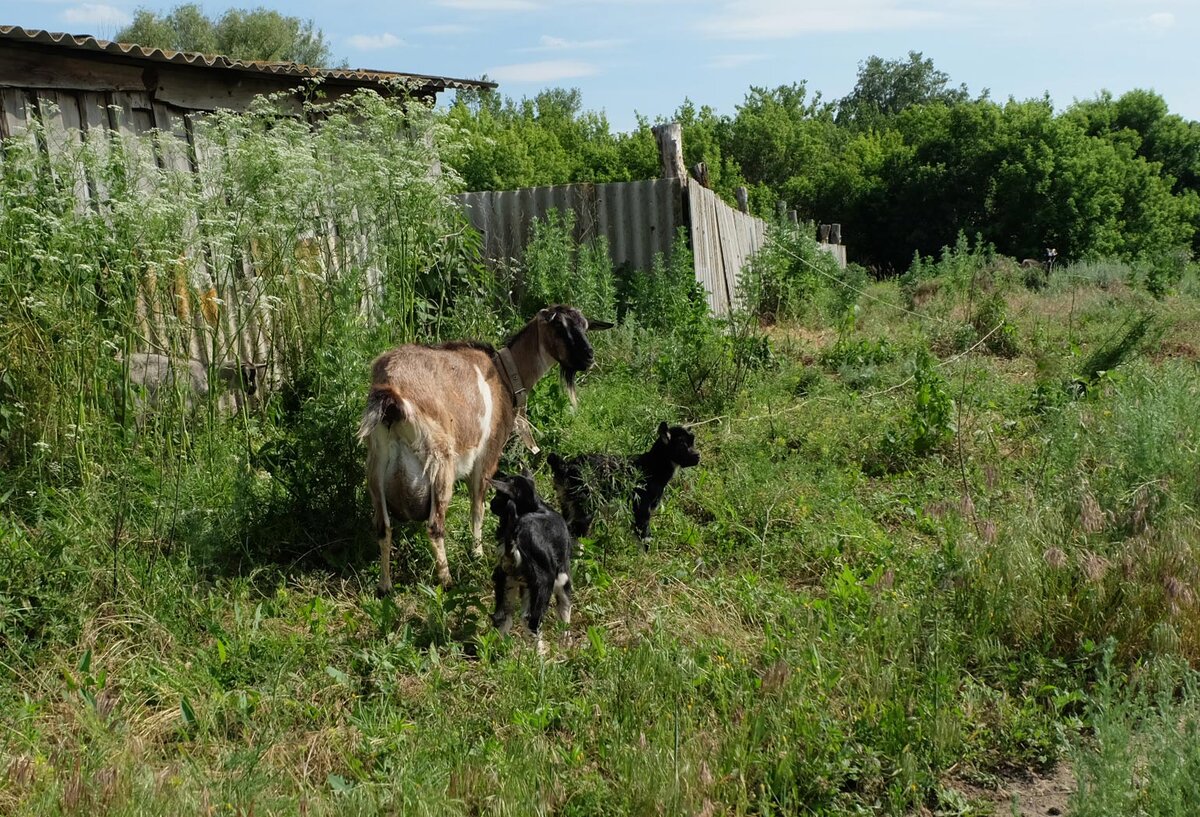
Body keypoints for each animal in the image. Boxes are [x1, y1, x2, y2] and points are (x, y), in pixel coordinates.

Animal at [355, 302, 609, 590]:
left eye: (585, 326)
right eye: (559, 325)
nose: (589, 357)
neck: (505, 375)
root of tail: (391, 394)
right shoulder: (487, 457)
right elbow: (479, 508)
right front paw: (477, 554)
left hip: (376, 465)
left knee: (383, 526)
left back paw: (384, 586)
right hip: (440, 462)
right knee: (434, 525)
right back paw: (447, 581)